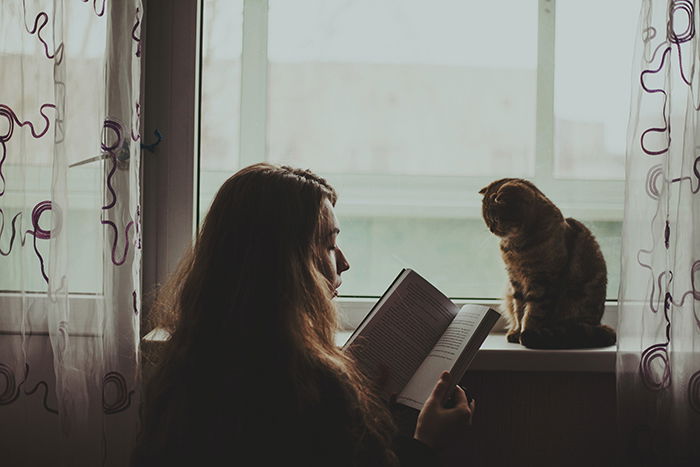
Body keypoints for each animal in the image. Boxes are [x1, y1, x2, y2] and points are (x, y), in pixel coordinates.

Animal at [478, 177, 616, 350]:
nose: (491, 228)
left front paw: (526, 333)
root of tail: (596, 324)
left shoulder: (543, 281)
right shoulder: (515, 280)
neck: (516, 247)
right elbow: (519, 309)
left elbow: (533, 313)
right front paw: (517, 331)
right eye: (486, 220)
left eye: (495, 220)